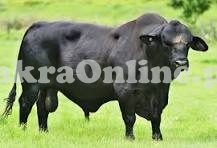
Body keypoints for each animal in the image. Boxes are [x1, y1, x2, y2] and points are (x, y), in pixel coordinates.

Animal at [2, 13, 207, 140]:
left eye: (188, 43)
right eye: (165, 42)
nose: (181, 62)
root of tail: (39, 24)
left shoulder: (160, 93)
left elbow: (156, 118)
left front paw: (158, 138)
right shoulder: (125, 91)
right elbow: (129, 117)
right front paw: (130, 138)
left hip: (47, 87)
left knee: (42, 107)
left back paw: (43, 132)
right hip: (31, 83)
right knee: (25, 103)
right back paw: (23, 130)